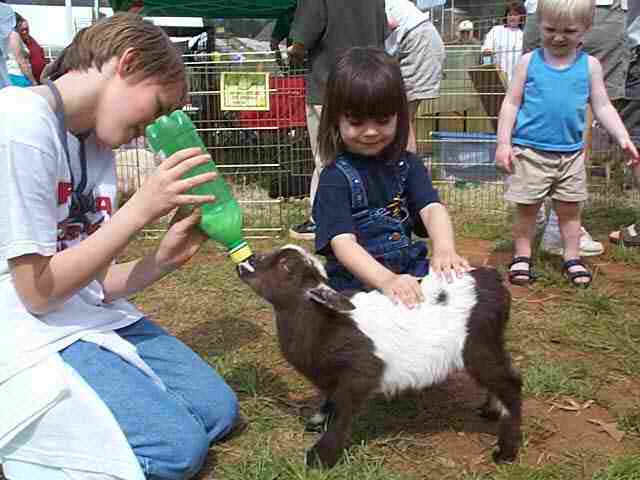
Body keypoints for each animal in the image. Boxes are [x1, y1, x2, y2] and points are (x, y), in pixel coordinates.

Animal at [238, 246, 524, 466]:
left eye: (285, 265)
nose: (245, 262)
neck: (323, 323)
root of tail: (491, 279)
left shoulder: (361, 372)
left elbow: (343, 413)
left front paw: (321, 458)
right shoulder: (335, 378)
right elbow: (331, 400)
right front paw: (318, 420)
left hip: (477, 344)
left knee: (511, 383)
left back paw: (506, 451)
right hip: (490, 342)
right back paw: (490, 410)